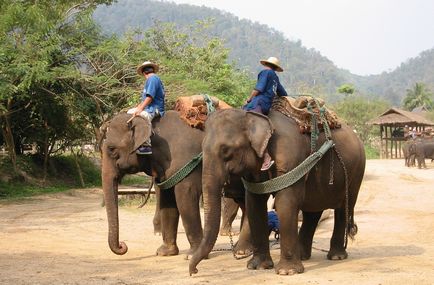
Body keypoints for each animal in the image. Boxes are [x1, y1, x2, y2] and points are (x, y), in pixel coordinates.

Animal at [190, 108, 366, 276]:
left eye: (226, 150)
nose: (194, 271)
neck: (255, 115)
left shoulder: (289, 155)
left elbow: (285, 203)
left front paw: (287, 272)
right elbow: (254, 204)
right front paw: (258, 266)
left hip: (357, 171)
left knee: (344, 207)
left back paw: (336, 256)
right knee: (313, 209)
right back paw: (303, 255)